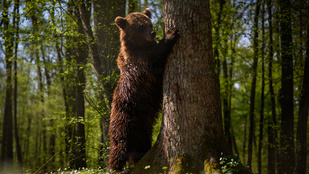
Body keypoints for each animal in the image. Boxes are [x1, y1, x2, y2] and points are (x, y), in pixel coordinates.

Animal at [107, 7, 178, 173]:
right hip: (123, 121)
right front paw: (171, 33)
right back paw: (114, 167)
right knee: (119, 147)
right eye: (139, 27)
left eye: (149, 23)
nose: (152, 33)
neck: (138, 47)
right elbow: (154, 60)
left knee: (141, 148)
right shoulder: (141, 64)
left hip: (143, 129)